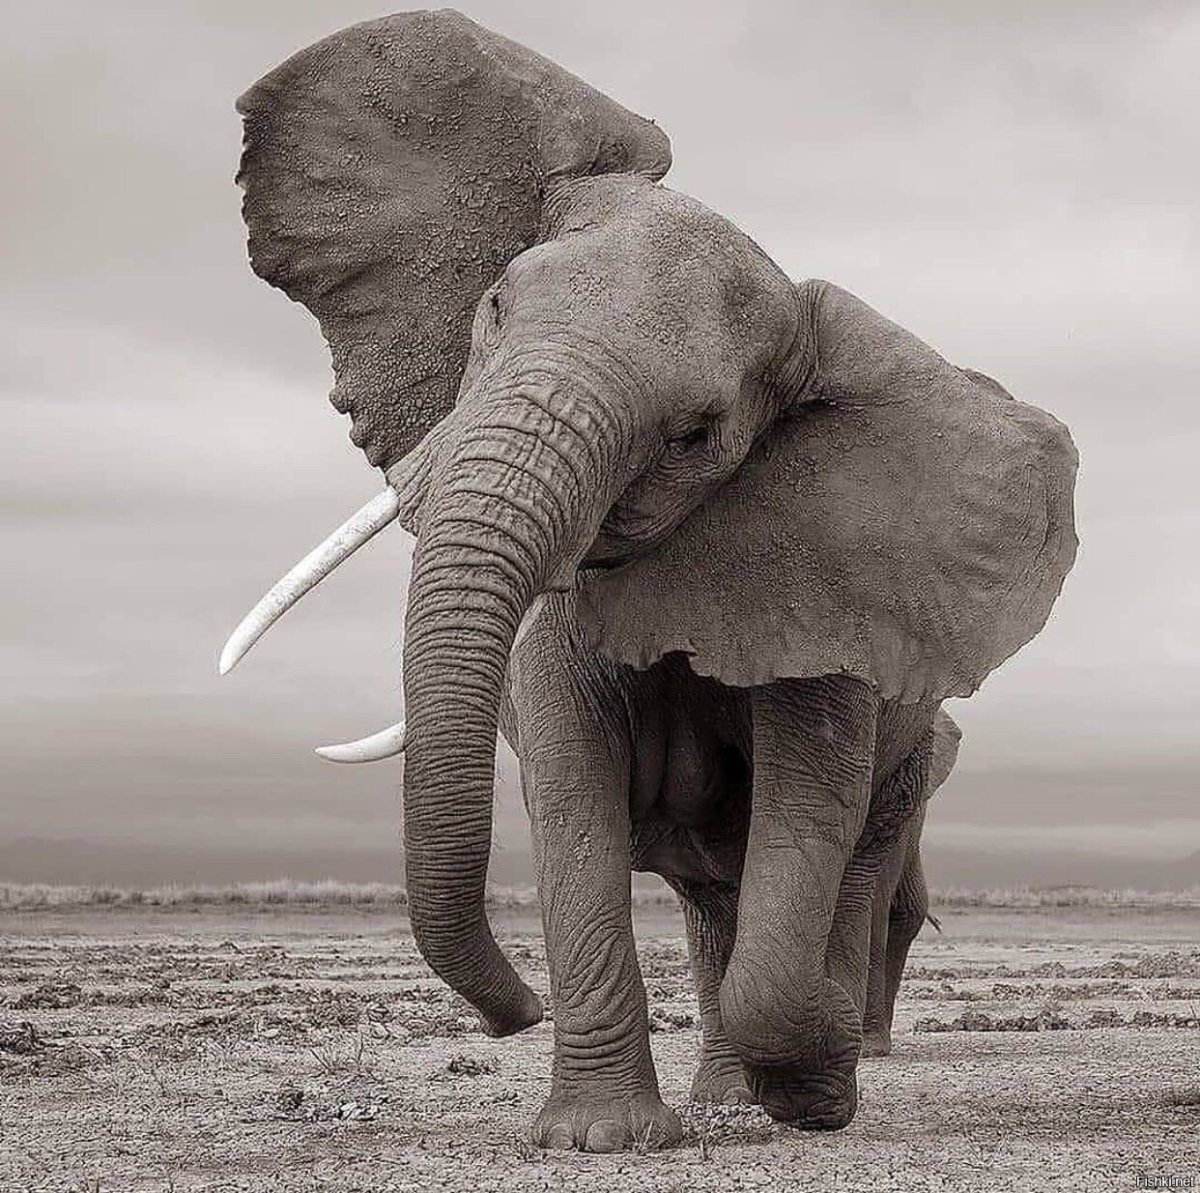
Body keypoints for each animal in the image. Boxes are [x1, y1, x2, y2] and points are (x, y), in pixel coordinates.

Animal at [217, 12, 1077, 1150]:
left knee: (841, 870)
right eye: (494, 307)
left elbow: (807, 808)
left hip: (917, 757)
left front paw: (816, 1091)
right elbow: (572, 787)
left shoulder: (828, 597)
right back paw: (725, 1098)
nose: (512, 1013)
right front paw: (600, 1138)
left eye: (693, 435)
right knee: (716, 895)